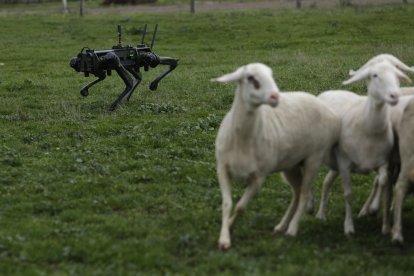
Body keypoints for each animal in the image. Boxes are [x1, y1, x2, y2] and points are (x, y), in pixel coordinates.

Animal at [212, 63, 342, 249]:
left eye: (271, 75)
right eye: (250, 78)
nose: (275, 97)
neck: (243, 140)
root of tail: (332, 113)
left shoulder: (258, 178)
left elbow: (241, 207)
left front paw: (229, 228)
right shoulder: (222, 169)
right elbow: (227, 204)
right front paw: (225, 235)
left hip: (314, 159)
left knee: (303, 195)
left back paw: (292, 229)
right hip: (292, 165)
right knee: (297, 193)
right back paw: (281, 226)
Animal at [314, 59, 410, 235]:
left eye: (396, 73)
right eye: (374, 75)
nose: (394, 96)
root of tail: (328, 92)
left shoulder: (384, 162)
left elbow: (382, 181)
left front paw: (373, 210)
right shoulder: (345, 165)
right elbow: (349, 195)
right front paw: (349, 227)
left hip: (336, 165)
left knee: (326, 182)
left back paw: (320, 214)